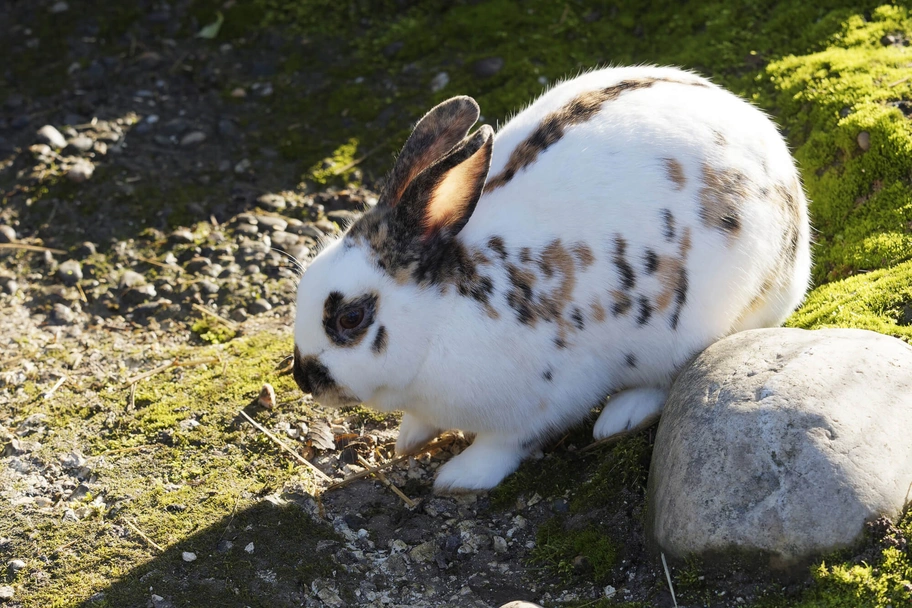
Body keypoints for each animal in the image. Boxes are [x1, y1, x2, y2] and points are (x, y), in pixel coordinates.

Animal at [292, 65, 811, 492]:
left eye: (351, 318)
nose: (302, 378)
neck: (442, 316)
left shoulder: (543, 401)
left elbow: (504, 445)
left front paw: (458, 477)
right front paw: (408, 440)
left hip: (699, 324)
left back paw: (620, 417)